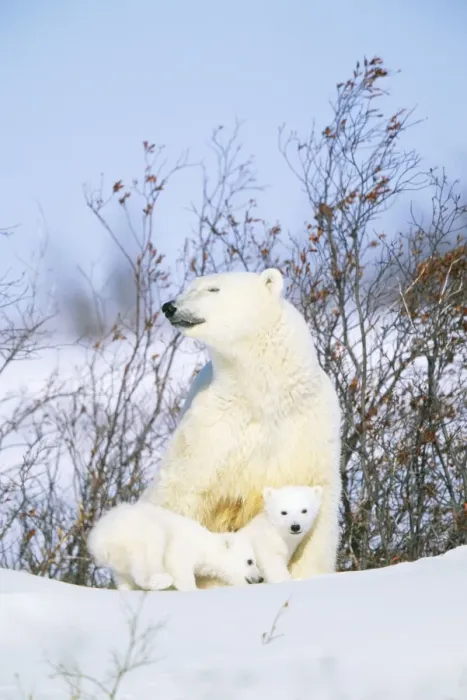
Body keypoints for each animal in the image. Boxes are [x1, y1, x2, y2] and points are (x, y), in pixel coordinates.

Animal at [87, 500, 264, 592]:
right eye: (250, 561)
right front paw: (191, 588)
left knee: (123, 577)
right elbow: (178, 565)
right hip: (139, 535)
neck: (204, 544)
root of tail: (98, 539)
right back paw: (161, 580)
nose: (261, 578)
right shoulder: (182, 546)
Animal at [144, 268, 342, 588]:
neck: (263, 394)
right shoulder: (211, 429)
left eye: (213, 289)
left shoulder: (309, 428)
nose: (169, 306)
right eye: (189, 287)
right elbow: (180, 492)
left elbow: (318, 503)